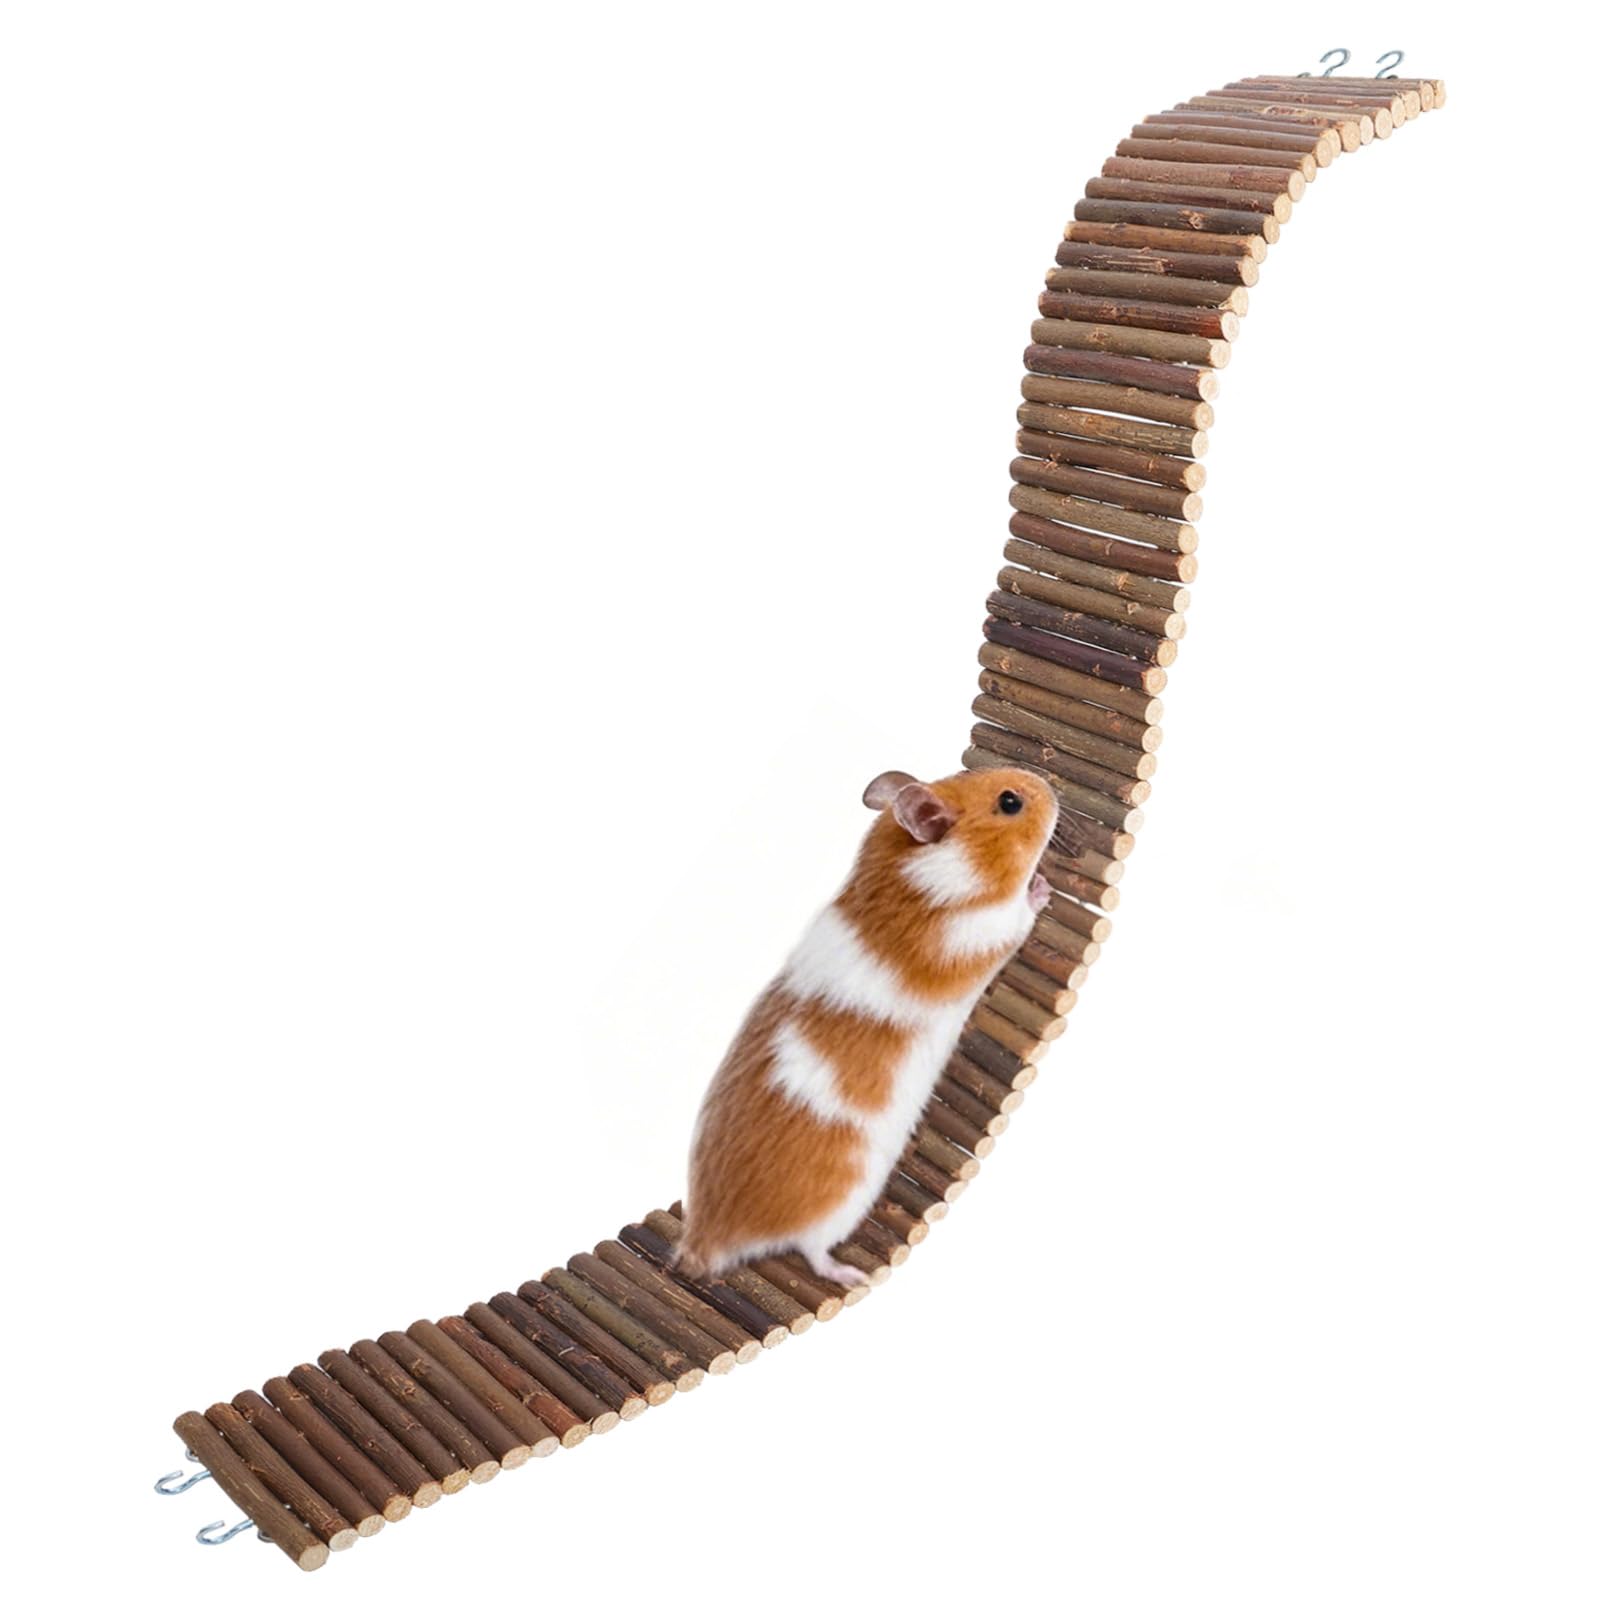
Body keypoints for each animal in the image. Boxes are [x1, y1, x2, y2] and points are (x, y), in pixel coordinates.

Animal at [676, 765, 1059, 1285]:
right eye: (1010, 802)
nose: (1051, 788)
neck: (917, 879)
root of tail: (704, 1240)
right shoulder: (981, 936)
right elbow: (1019, 917)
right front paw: (1042, 886)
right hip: (840, 1207)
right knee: (813, 1253)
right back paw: (853, 1276)